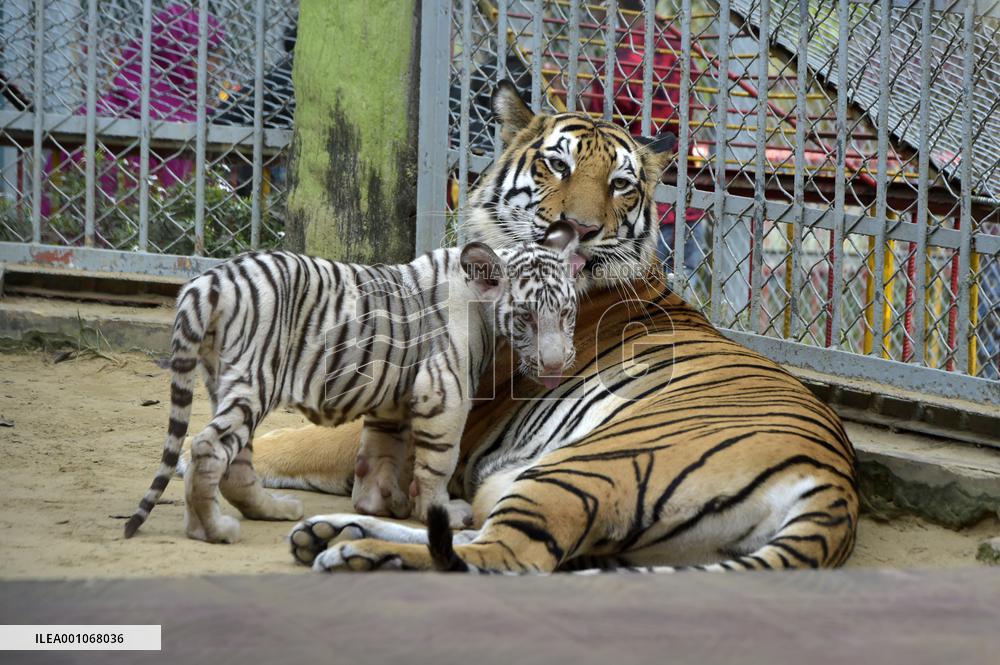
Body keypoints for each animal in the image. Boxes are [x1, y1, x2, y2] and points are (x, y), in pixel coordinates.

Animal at [124, 221, 582, 543]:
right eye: (525, 317)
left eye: (566, 313)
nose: (555, 365)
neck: (480, 302)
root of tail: (210, 280)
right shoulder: (443, 391)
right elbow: (437, 461)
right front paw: (438, 511)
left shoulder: (392, 397)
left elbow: (380, 454)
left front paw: (379, 502)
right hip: (256, 379)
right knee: (207, 447)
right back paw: (215, 531)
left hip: (224, 380)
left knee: (236, 459)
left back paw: (267, 510)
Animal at [260, 79, 857, 573]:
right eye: (558, 166)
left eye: (620, 184)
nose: (582, 228)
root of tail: (836, 491)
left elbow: (298, 440)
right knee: (470, 532)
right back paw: (331, 532)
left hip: (590, 465)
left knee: (503, 556)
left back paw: (356, 551)